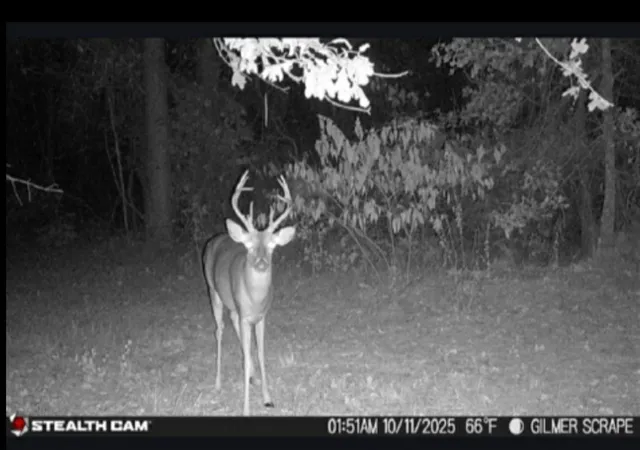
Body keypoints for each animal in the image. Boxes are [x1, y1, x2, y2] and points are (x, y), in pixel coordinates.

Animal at [202, 170, 296, 416]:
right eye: (249, 246)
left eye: (272, 246)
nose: (261, 263)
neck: (255, 299)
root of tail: (216, 238)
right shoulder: (246, 315)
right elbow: (244, 353)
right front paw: (245, 409)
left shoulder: (261, 316)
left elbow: (261, 353)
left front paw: (267, 398)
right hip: (213, 291)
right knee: (219, 330)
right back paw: (217, 383)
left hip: (234, 305)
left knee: (234, 323)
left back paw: (252, 376)